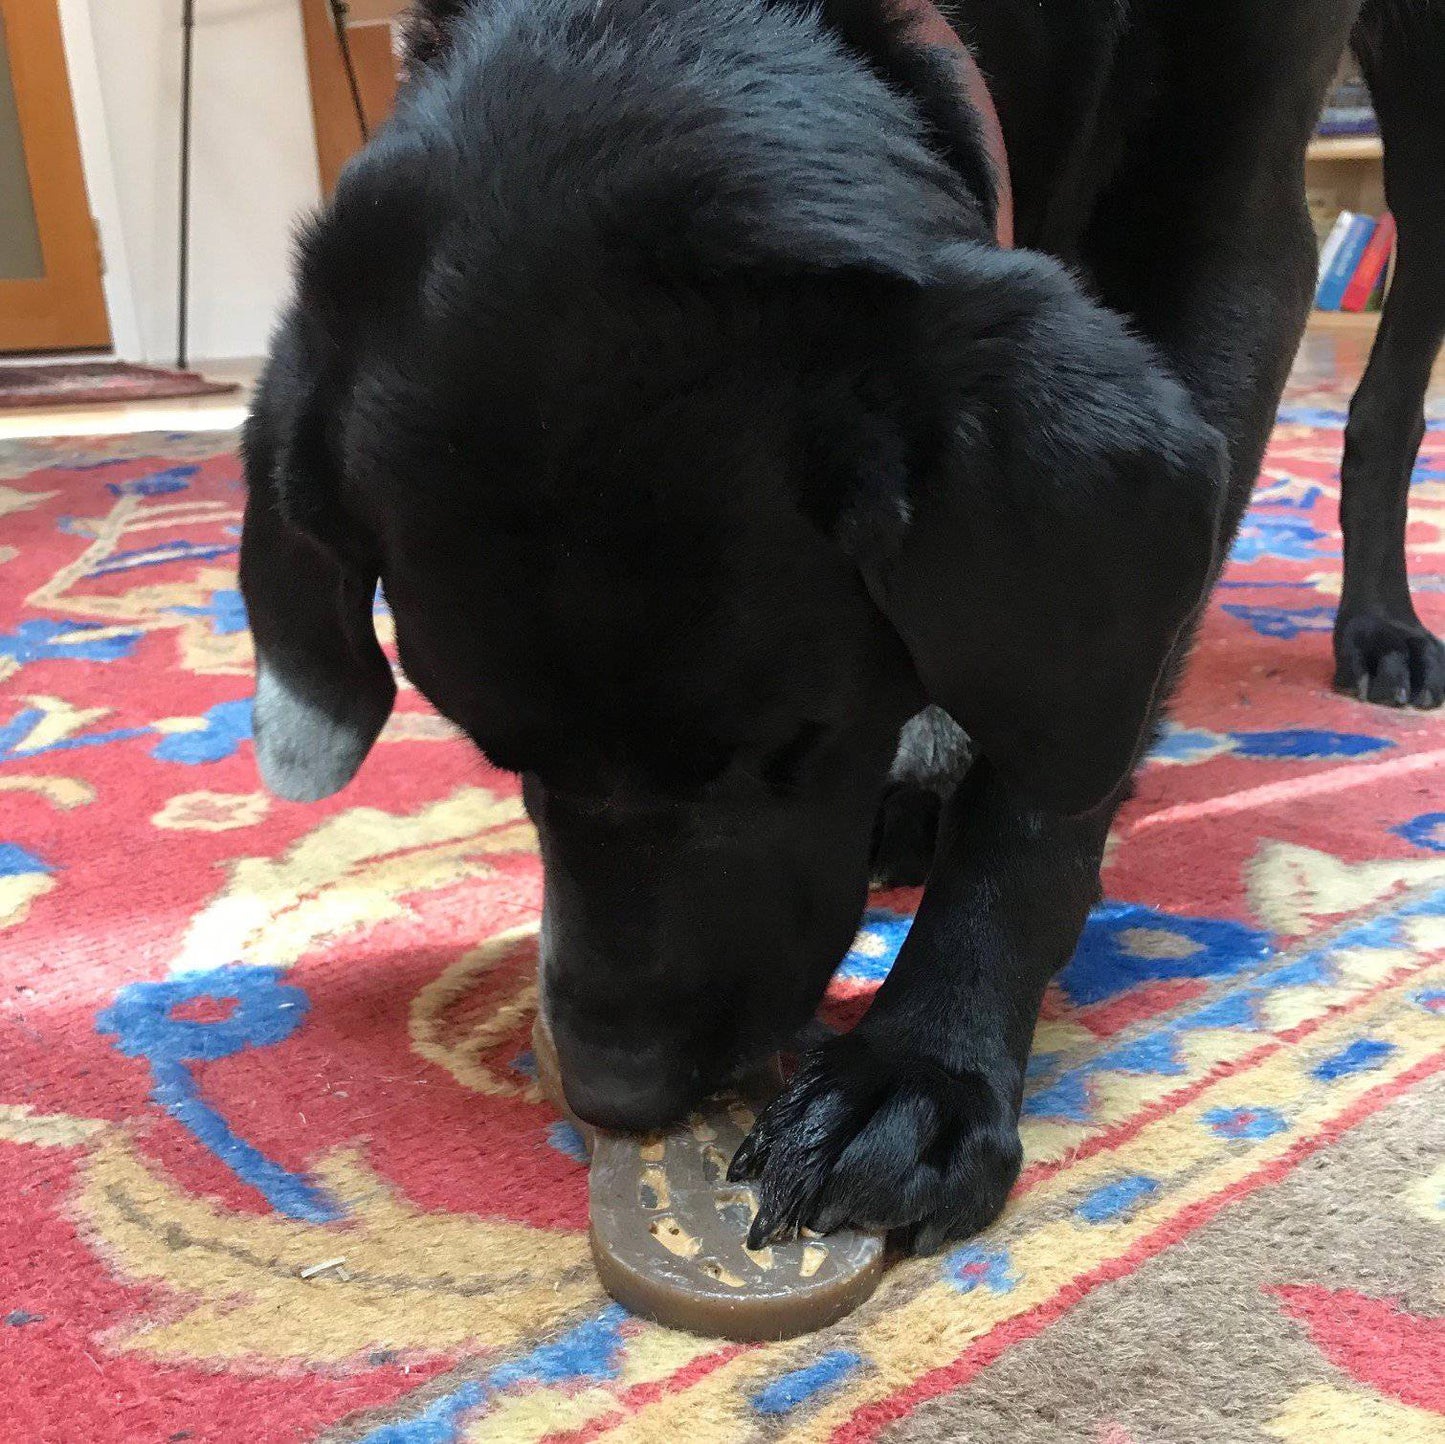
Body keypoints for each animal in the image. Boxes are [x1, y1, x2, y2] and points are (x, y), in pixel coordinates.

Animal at [236, 0, 1421, 1254]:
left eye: (794, 743)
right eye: (498, 756)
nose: (615, 1088)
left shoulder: (1232, 236)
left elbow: (1056, 742)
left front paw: (924, 1063)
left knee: (1387, 398)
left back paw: (1382, 627)